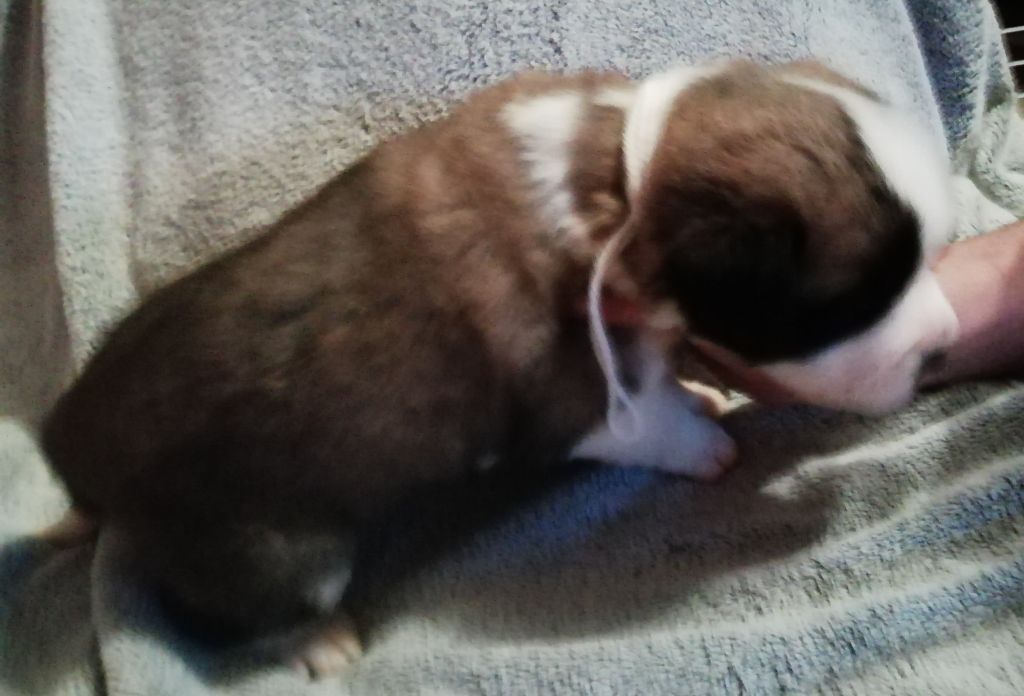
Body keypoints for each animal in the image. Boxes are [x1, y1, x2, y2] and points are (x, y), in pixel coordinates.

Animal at [39, 59, 958, 677]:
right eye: (856, 300)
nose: (946, 339)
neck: (624, 177)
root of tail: (70, 441)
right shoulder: (575, 395)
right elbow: (653, 424)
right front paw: (706, 447)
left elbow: (664, 384)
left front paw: (696, 387)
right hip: (273, 552)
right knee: (216, 616)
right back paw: (315, 642)